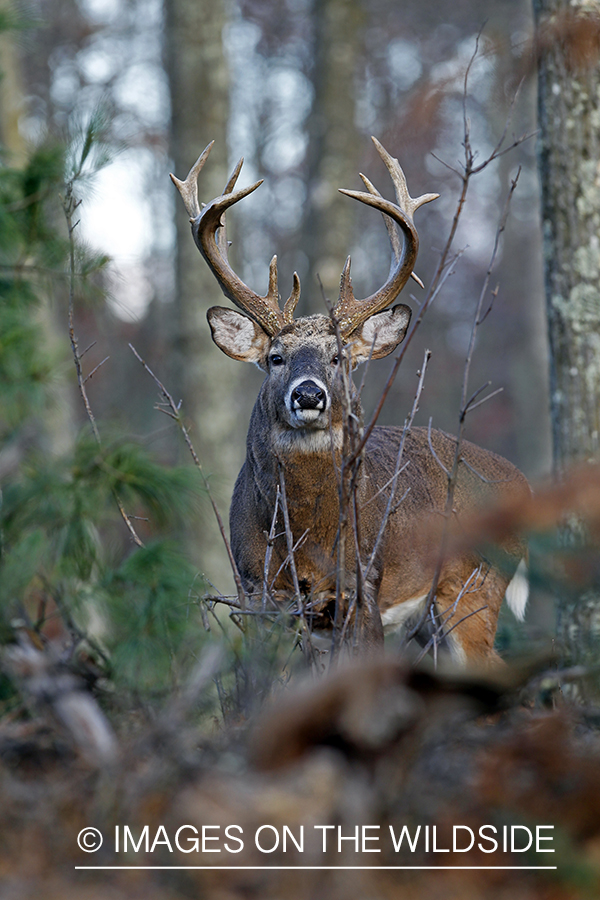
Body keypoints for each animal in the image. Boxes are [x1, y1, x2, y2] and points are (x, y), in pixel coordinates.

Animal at [170, 137, 528, 664]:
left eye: (338, 356)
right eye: (275, 357)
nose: (308, 394)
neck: (306, 540)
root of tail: (524, 484)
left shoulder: (363, 588)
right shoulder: (256, 592)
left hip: (474, 588)